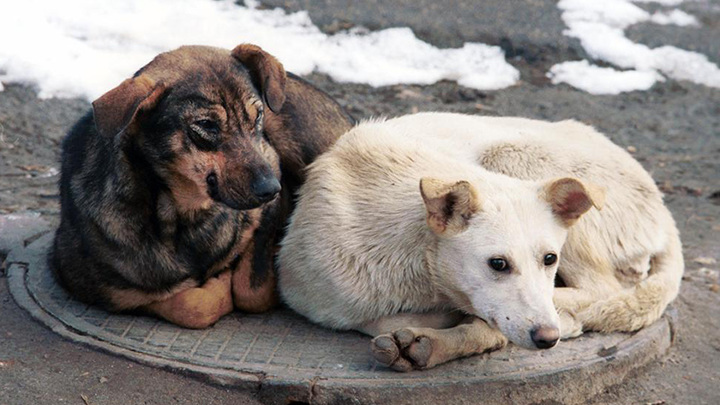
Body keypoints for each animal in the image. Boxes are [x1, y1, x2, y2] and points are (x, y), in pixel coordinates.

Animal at [50, 44, 354, 328]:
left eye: (257, 116)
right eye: (206, 124)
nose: (271, 189)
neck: (184, 217)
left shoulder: (270, 176)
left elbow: (251, 291)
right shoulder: (96, 287)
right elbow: (191, 305)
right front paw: (218, 283)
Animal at [276, 112, 680, 370]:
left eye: (550, 259)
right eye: (498, 264)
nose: (547, 338)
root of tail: (664, 208)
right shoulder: (312, 298)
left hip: (513, 154)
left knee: (604, 289)